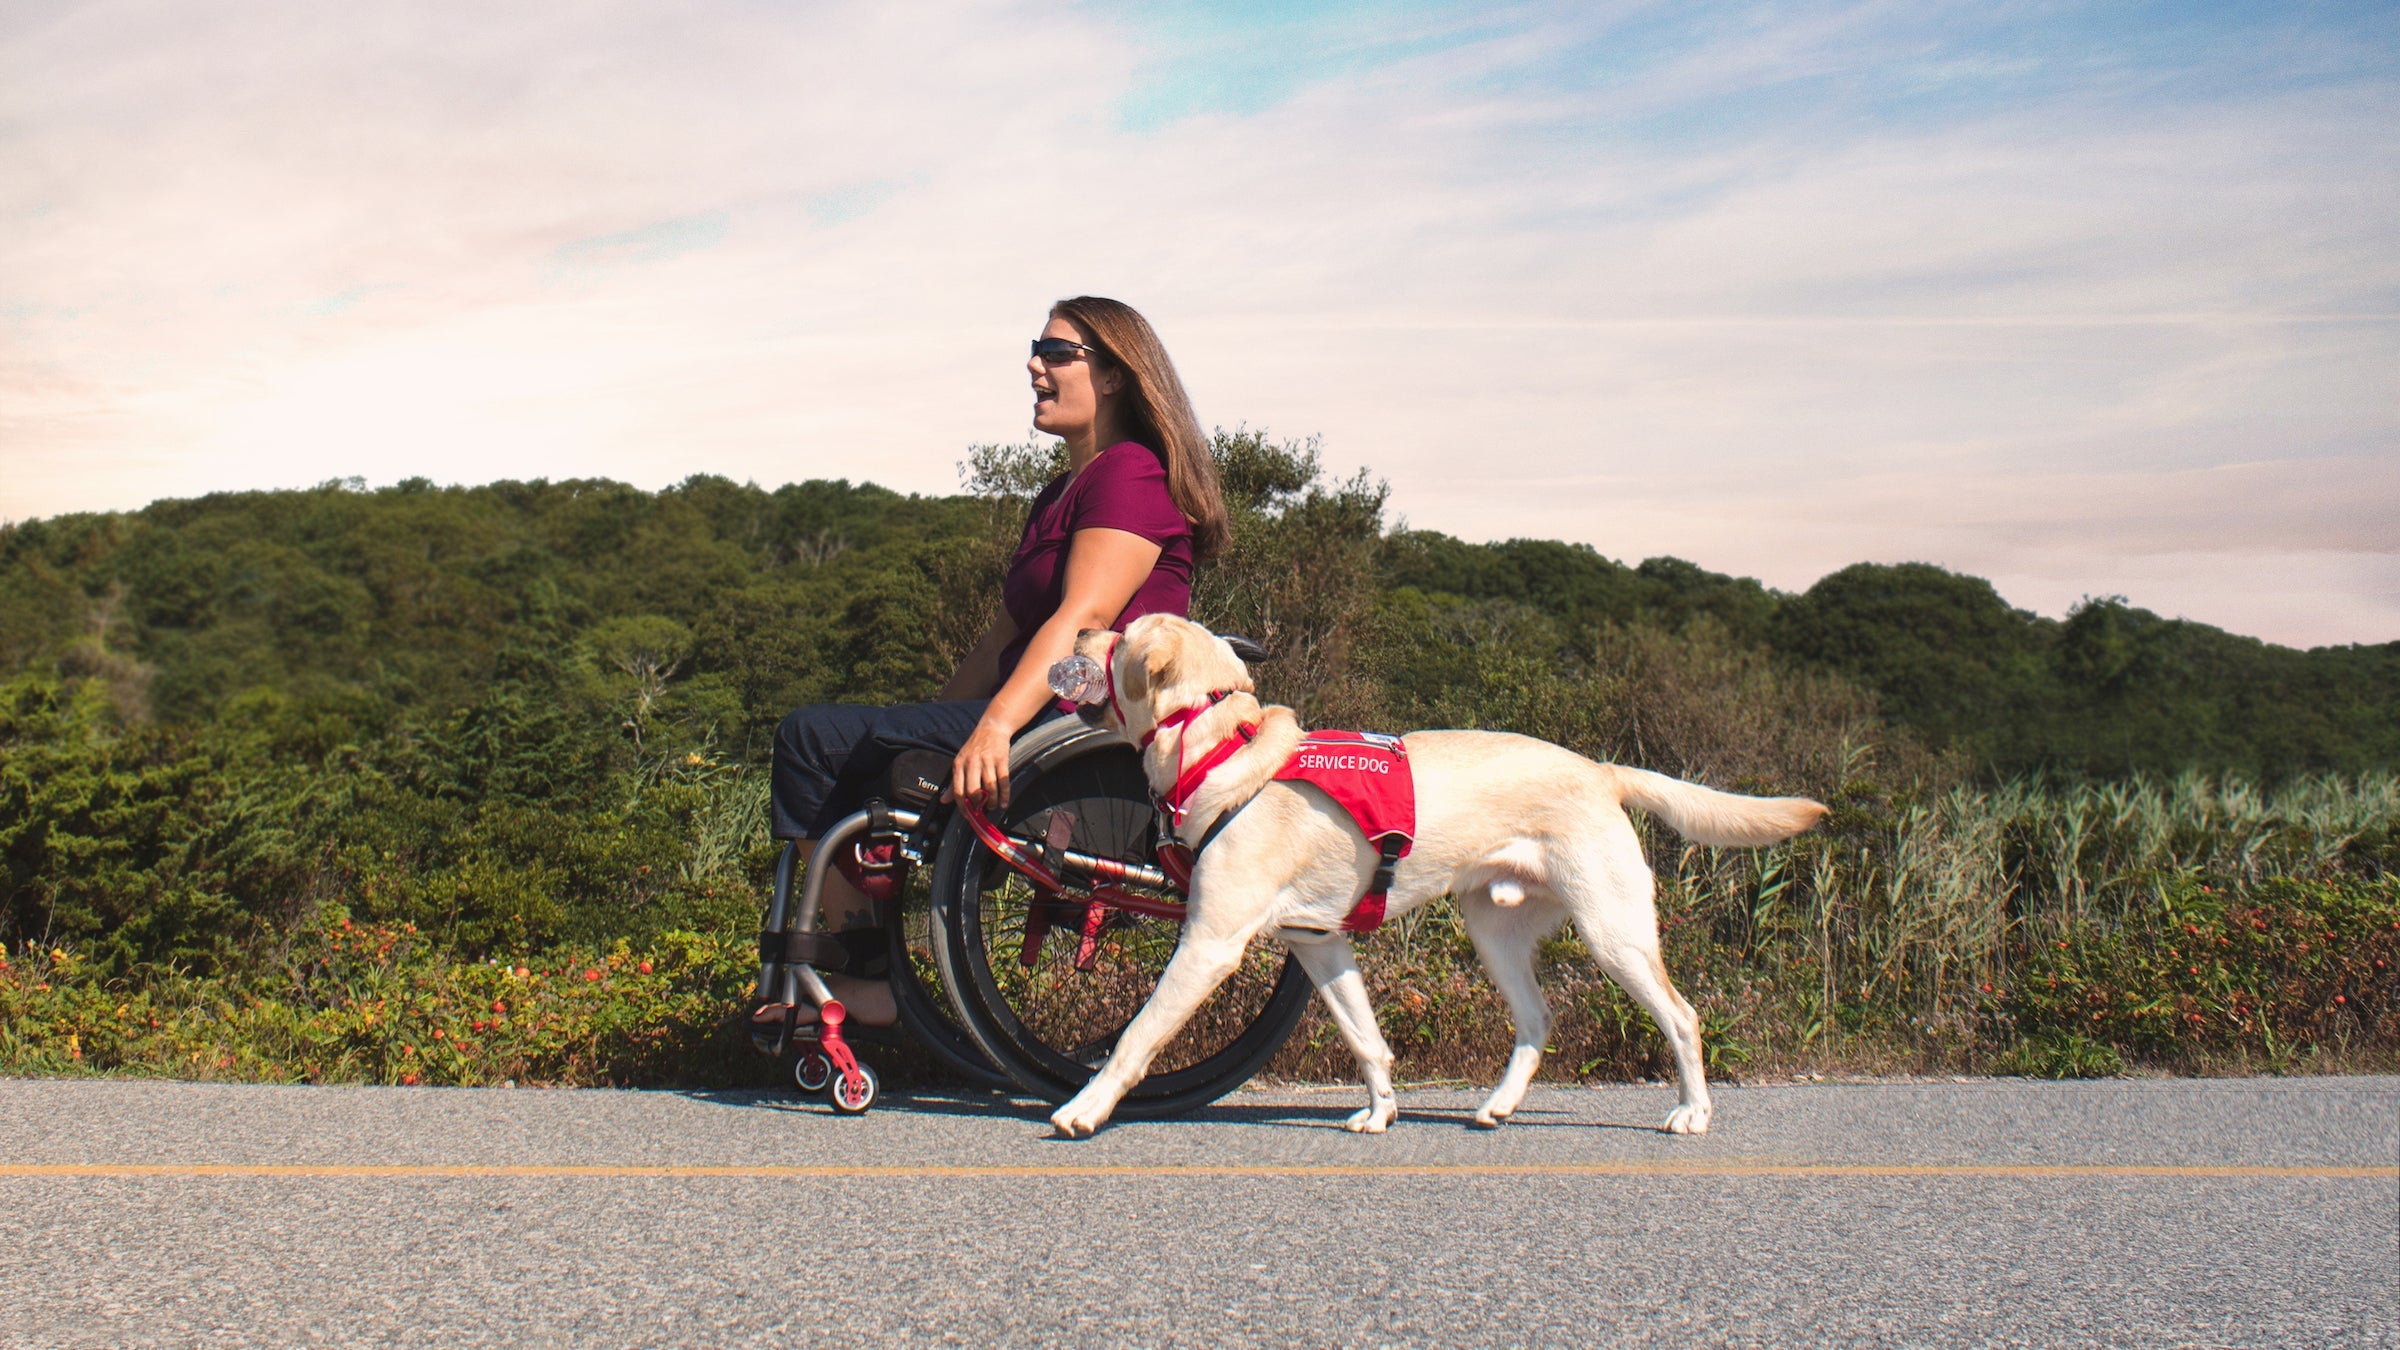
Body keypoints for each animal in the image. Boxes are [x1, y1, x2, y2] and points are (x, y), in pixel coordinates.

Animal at [1046, 612, 1814, 1133]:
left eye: (1121, 636)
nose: (1080, 627)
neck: (1222, 752)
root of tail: (1601, 770)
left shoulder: (1209, 943)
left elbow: (1137, 1035)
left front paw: (1084, 1107)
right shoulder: (1320, 943)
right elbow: (1366, 1038)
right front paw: (1382, 1110)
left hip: (1613, 932)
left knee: (1682, 1016)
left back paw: (1692, 1113)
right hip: (1494, 932)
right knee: (1538, 1017)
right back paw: (1497, 1106)